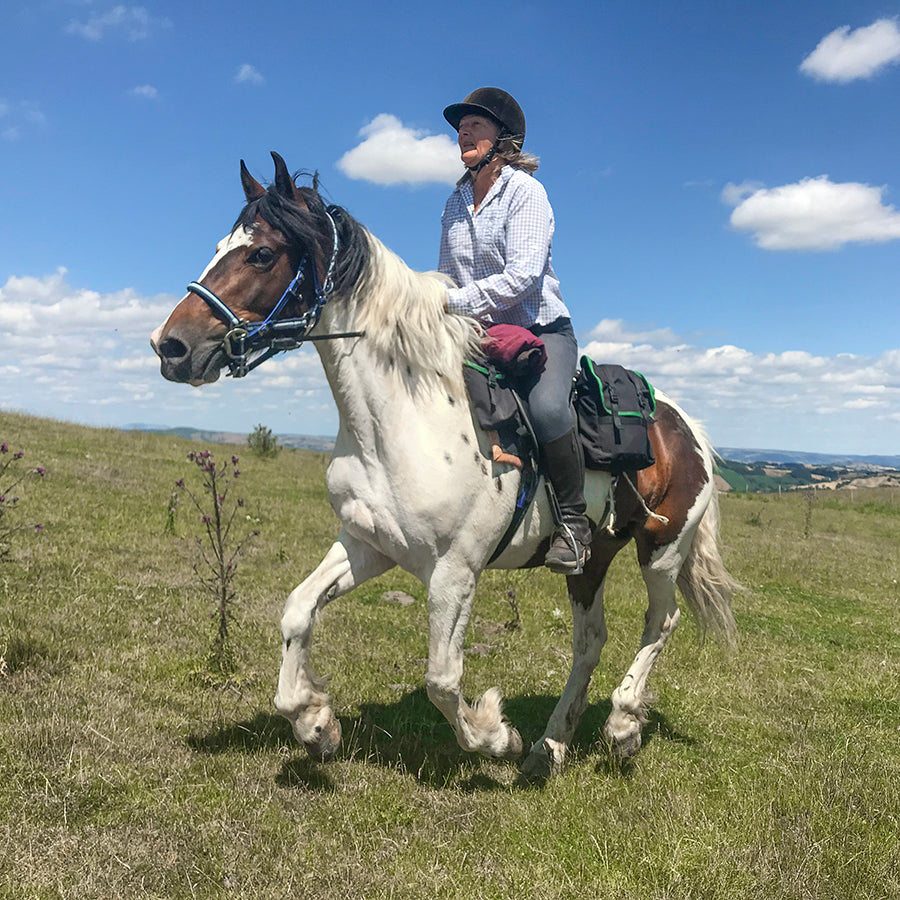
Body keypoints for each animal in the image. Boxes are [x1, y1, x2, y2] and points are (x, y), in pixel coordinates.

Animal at [149, 151, 740, 776]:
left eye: (261, 253)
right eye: (221, 245)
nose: (170, 346)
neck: (399, 418)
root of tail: (684, 425)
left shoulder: (455, 573)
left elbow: (441, 677)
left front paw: (494, 736)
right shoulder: (367, 544)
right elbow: (296, 611)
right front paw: (315, 723)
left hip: (662, 549)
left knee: (662, 620)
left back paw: (622, 725)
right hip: (592, 557)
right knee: (591, 640)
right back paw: (549, 747)